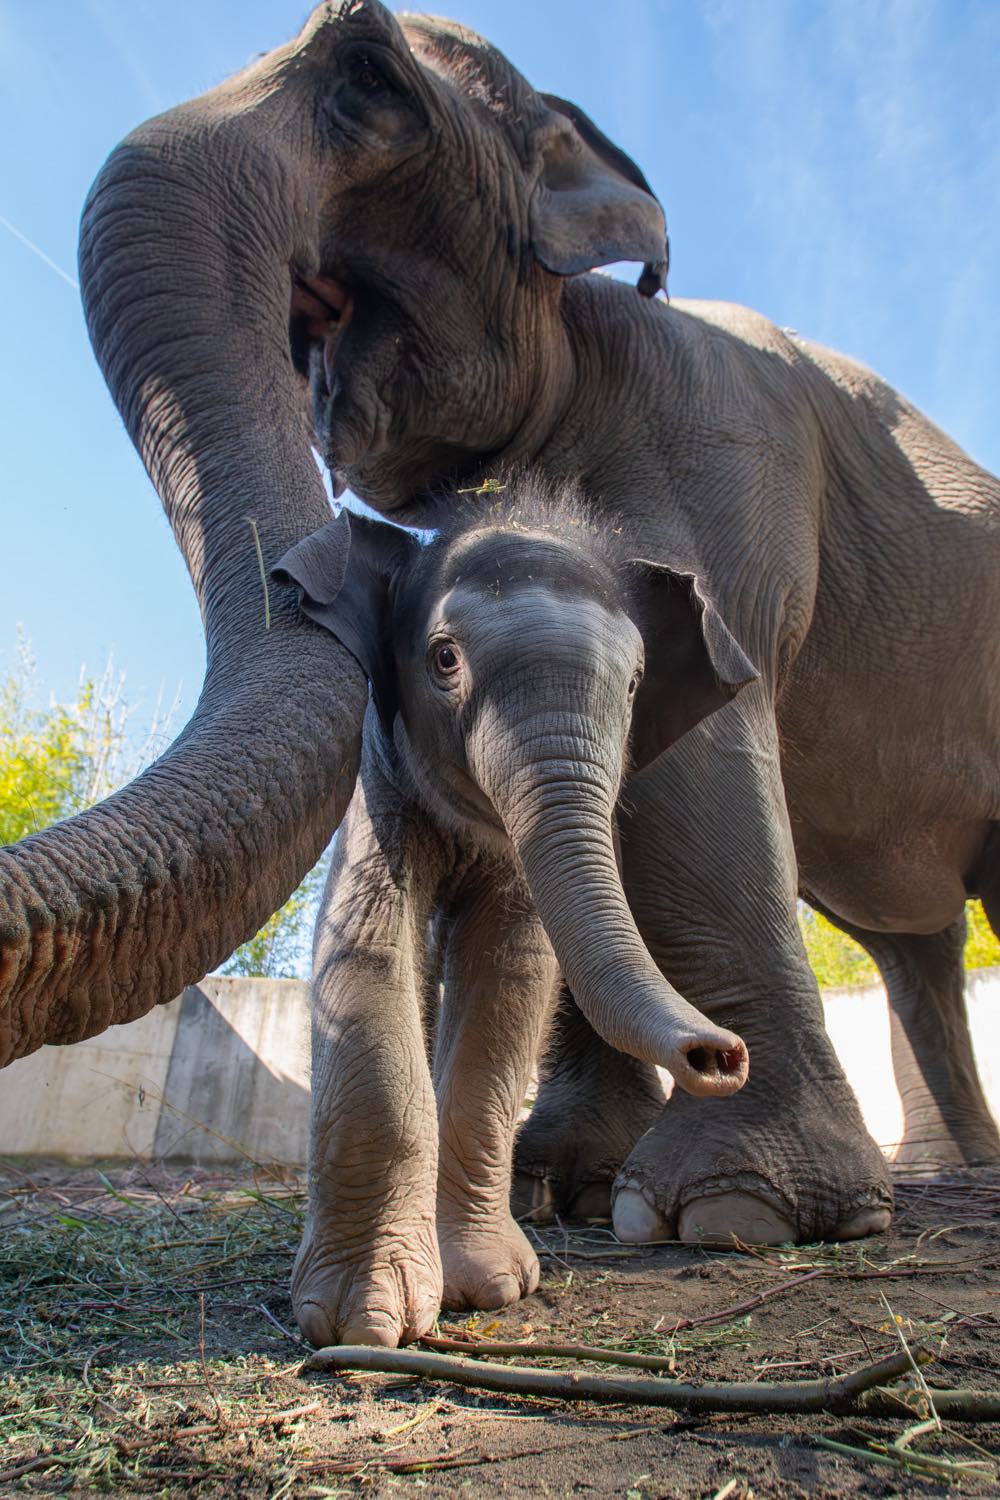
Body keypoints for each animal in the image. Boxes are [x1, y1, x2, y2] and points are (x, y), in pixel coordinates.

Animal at [2, 2, 998, 1254]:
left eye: (369, 76)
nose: (715, 1054)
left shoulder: (720, 435)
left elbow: (701, 765)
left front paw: (731, 1209)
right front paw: (561, 1185)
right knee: (914, 944)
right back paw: (952, 1165)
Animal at [270, 473, 755, 1345]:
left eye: (634, 686)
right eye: (444, 658)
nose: (721, 1055)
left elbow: (513, 978)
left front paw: (489, 1290)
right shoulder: (379, 782)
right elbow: (369, 944)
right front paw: (367, 1323)